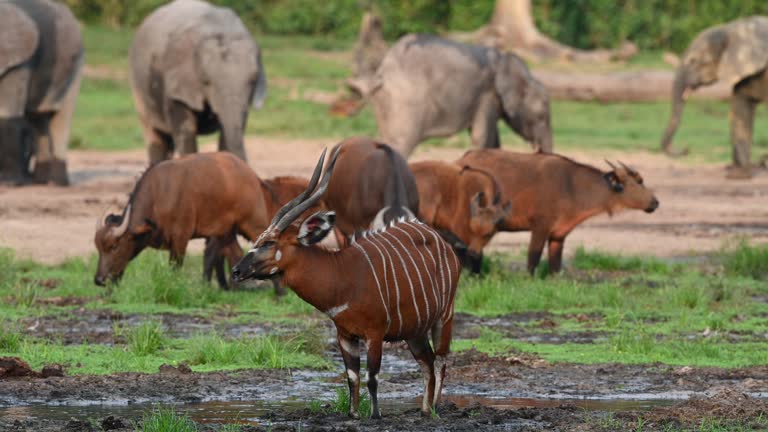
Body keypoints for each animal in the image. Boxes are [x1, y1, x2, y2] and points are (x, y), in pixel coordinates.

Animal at [232, 148, 460, 418]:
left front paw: (375, 415)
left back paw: (436, 408)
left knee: (441, 360)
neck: (342, 275)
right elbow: (352, 377)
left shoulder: (375, 333)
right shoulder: (345, 335)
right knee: (427, 362)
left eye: (269, 243)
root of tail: (441, 241)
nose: (236, 270)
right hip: (414, 330)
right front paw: (353, 414)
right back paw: (425, 410)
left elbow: (372, 377)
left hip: (444, 317)